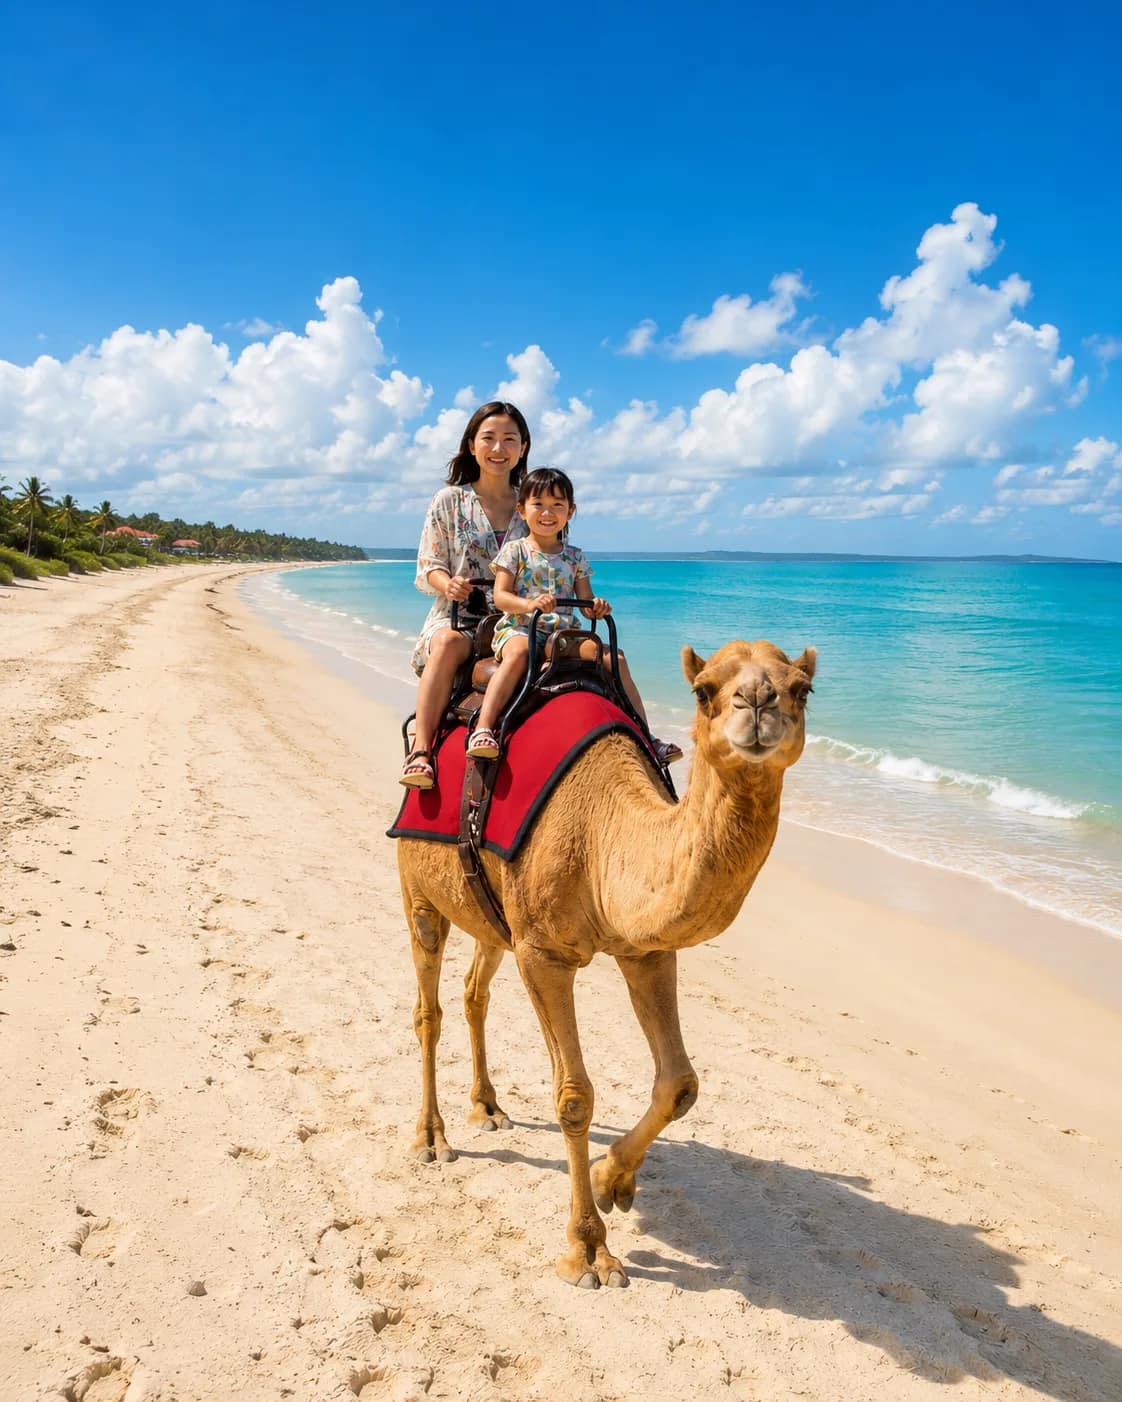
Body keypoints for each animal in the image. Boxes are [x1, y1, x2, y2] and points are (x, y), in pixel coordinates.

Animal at [396, 638, 816, 1288]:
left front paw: (609, 1178)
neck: (603, 837)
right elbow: (574, 1096)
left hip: (489, 910)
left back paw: (487, 1108)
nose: (758, 702)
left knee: (474, 991)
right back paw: (431, 1138)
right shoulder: (544, 953)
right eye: (705, 691)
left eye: (802, 688)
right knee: (428, 1009)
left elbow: (680, 1083)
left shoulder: (646, 948)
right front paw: (589, 1251)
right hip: (418, 889)